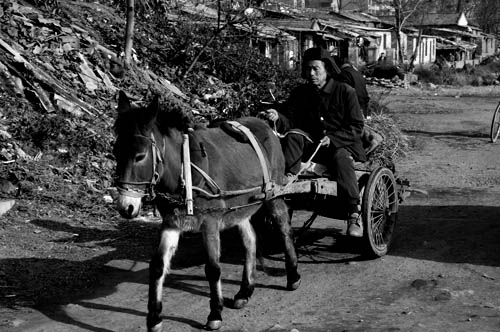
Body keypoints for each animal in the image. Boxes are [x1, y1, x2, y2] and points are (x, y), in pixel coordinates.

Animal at [113, 91, 300, 332]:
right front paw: (154, 318)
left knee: (284, 228)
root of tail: (264, 123)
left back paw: (293, 276)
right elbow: (157, 267)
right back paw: (245, 291)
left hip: (273, 195)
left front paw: (215, 313)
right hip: (239, 206)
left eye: (140, 156)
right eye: (115, 152)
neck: (185, 169)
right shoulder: (171, 223)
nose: (125, 207)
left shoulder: (209, 223)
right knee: (250, 239)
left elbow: (213, 268)